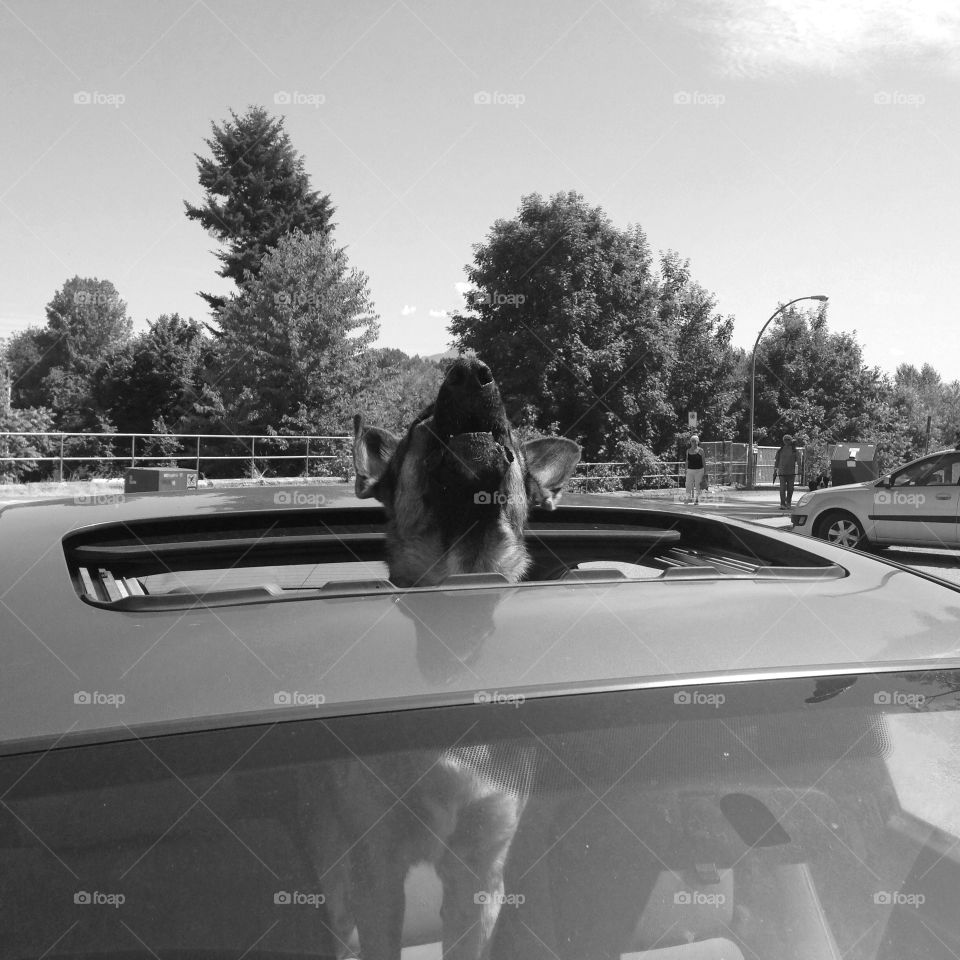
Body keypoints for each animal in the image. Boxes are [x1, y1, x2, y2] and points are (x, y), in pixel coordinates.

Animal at [304, 358, 580, 960]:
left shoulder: (478, 873)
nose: (472, 370)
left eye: (511, 437)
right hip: (338, 875)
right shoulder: (377, 872)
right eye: (421, 425)